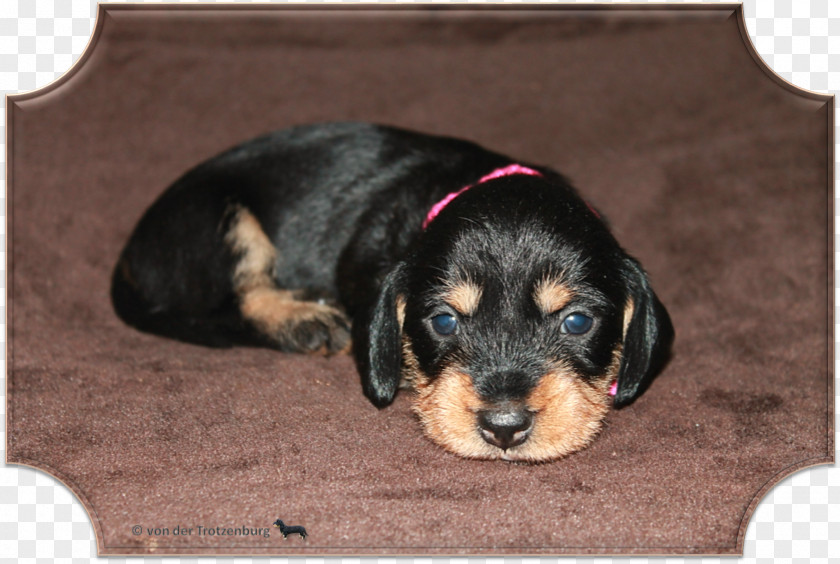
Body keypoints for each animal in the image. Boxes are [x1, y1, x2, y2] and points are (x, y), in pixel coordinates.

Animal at [113, 121, 676, 460]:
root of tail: (133, 247)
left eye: (577, 321)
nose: (504, 427)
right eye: (444, 321)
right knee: (243, 294)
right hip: (218, 221)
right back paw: (303, 320)